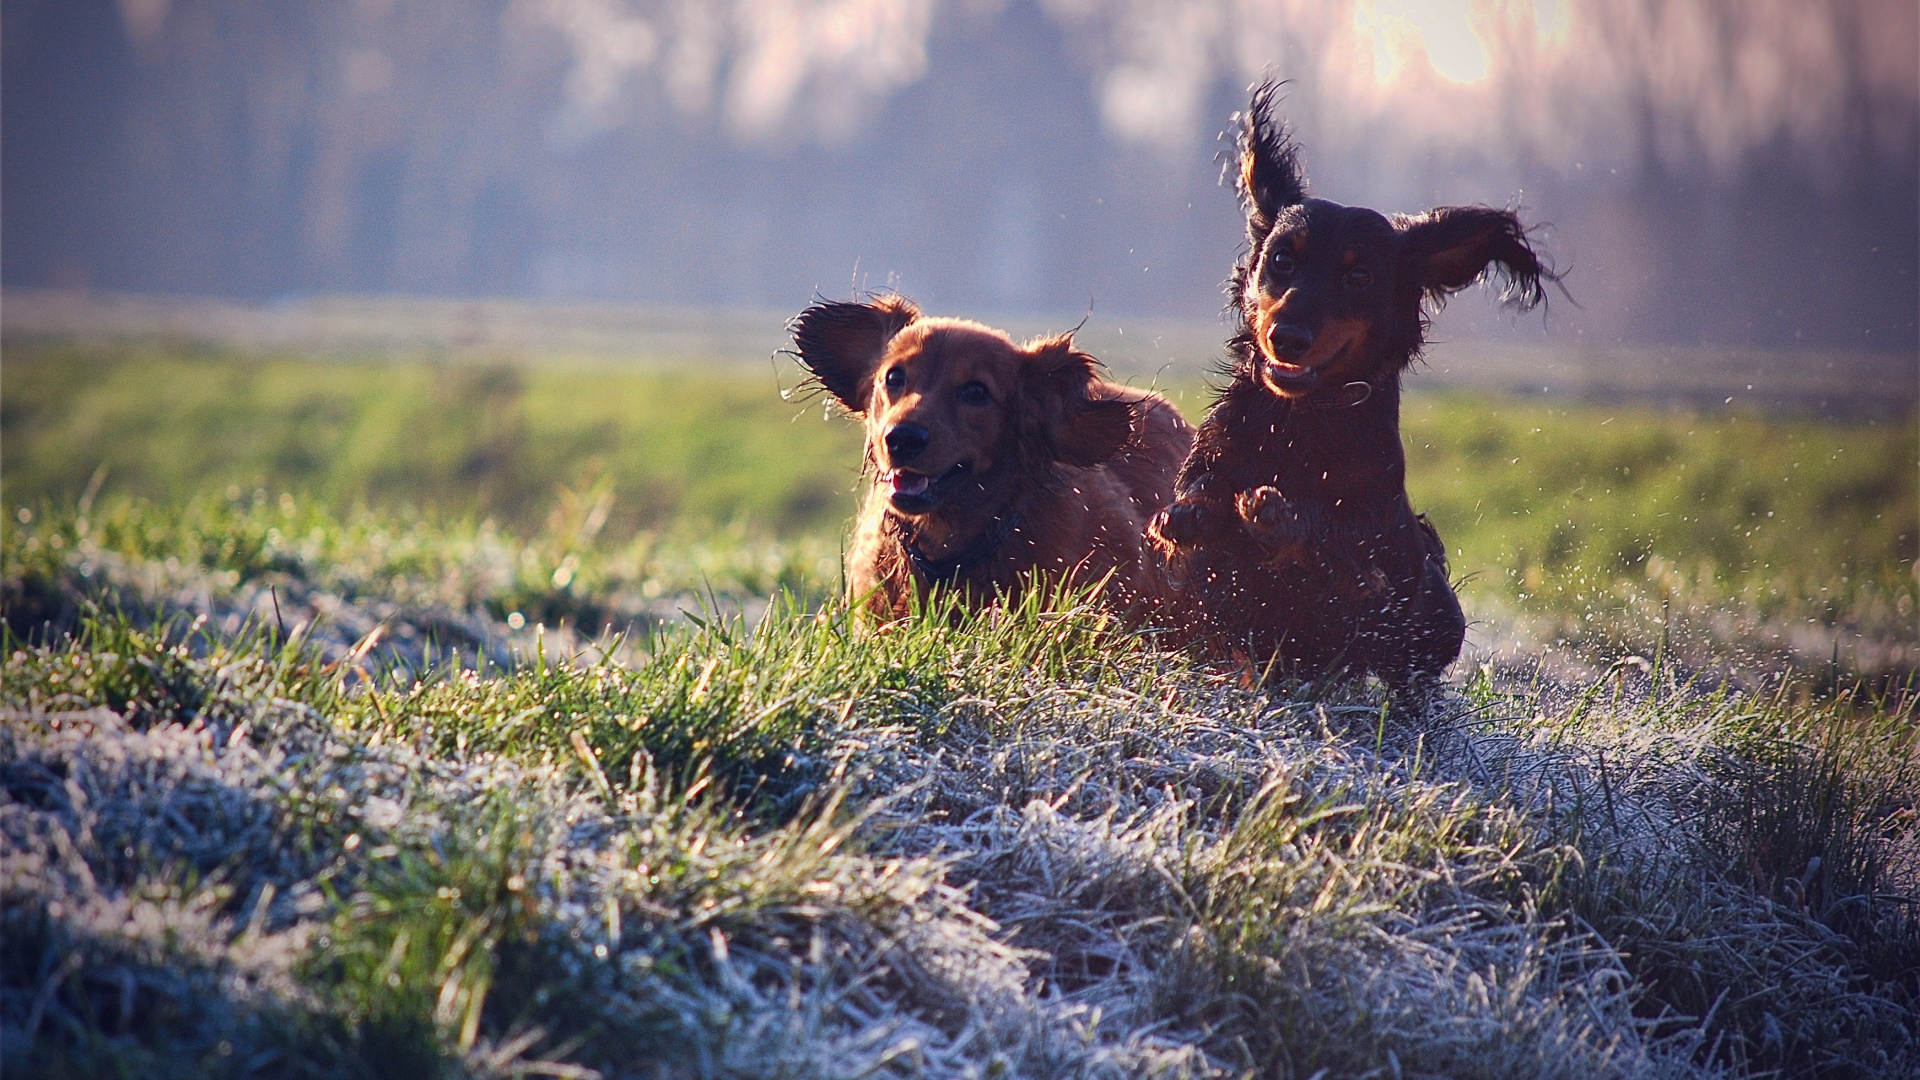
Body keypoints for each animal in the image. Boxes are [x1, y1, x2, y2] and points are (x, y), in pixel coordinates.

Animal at [1144, 82, 1551, 687]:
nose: (1286, 337)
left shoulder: (1373, 560)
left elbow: (1339, 548)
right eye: (1281, 259)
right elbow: (1196, 507)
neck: (1300, 420)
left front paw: (1277, 515)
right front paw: (1194, 514)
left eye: (1358, 276)